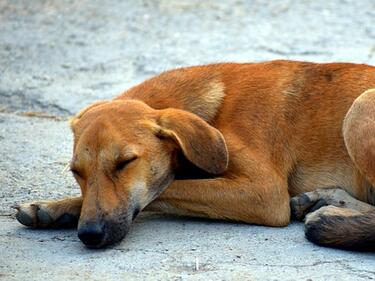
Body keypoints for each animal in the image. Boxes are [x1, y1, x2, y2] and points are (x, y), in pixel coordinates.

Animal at [13, 60, 375, 248]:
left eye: (126, 163)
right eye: (77, 172)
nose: (89, 235)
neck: (215, 111)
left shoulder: (266, 193)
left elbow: (167, 188)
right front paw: (53, 208)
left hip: (359, 109)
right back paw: (325, 200)